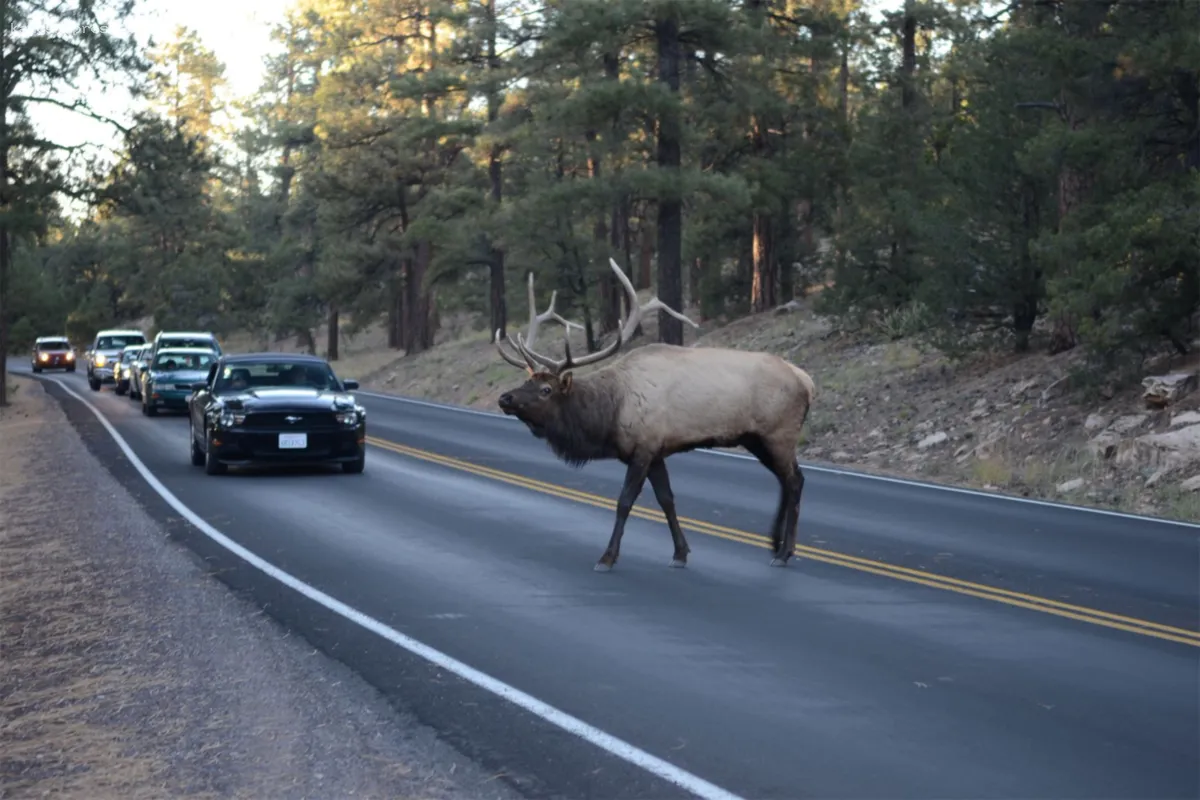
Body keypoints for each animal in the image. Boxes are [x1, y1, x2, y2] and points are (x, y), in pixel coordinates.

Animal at [494, 260, 816, 573]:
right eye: (527, 381)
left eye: (546, 389)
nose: (505, 398)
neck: (610, 414)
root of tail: (807, 381)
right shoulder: (657, 452)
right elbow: (667, 500)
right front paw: (680, 553)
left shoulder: (643, 448)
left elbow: (624, 502)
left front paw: (607, 557)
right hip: (756, 439)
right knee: (786, 480)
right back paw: (776, 544)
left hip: (779, 433)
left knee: (796, 480)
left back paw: (784, 552)